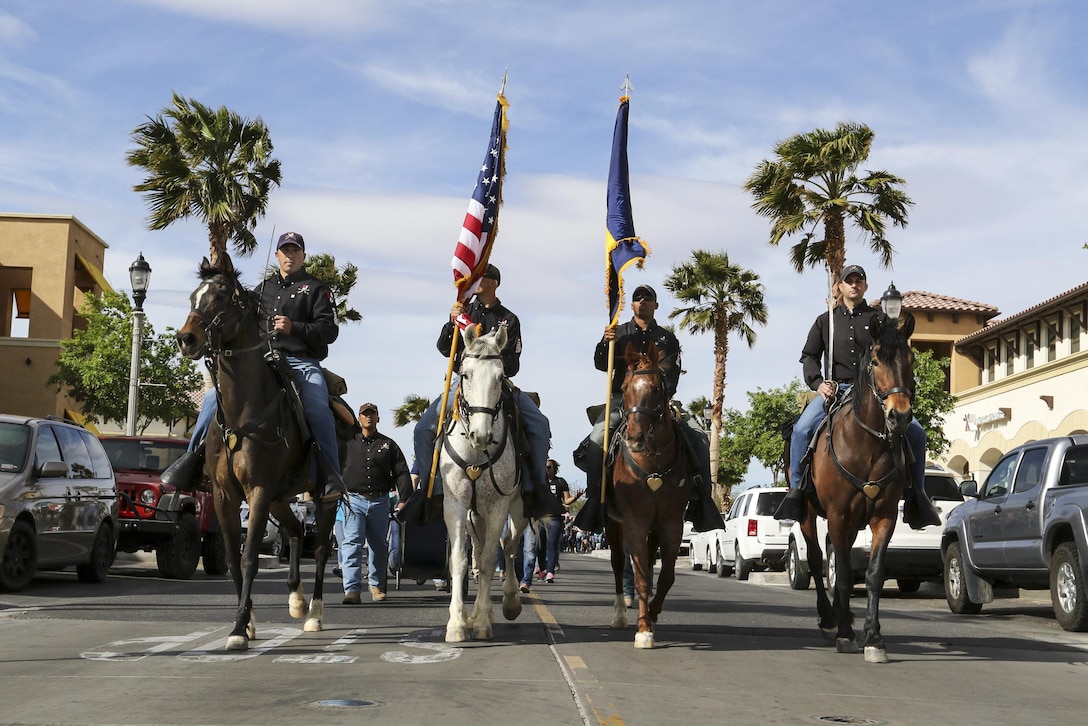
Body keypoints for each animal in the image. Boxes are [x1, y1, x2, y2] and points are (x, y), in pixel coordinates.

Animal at [176, 255, 335, 653]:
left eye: (220, 296)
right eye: (193, 296)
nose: (186, 339)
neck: (243, 411)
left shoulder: (259, 489)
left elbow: (249, 558)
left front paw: (237, 628)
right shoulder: (225, 495)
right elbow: (233, 558)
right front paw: (246, 623)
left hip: (322, 498)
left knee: (321, 550)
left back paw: (313, 613)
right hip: (281, 497)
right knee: (295, 530)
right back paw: (295, 598)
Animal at [439, 324, 528, 640]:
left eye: (501, 377)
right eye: (465, 374)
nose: (482, 435)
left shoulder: (498, 506)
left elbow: (491, 560)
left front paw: (479, 624)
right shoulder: (456, 505)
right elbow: (459, 560)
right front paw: (457, 623)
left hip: (519, 508)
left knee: (509, 547)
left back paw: (508, 602)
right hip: (474, 515)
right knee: (478, 550)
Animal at [604, 343, 687, 648]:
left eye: (655, 387)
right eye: (624, 387)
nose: (635, 438)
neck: (653, 463)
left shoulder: (672, 524)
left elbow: (665, 577)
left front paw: (652, 614)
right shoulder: (634, 523)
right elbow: (639, 577)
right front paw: (642, 630)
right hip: (613, 525)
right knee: (618, 564)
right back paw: (619, 615)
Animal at [792, 313, 918, 666]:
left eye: (911, 359)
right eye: (875, 361)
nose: (899, 415)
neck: (868, 445)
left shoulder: (884, 517)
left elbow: (872, 574)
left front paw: (873, 638)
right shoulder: (836, 514)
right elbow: (844, 575)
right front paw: (847, 634)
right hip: (809, 515)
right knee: (817, 558)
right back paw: (830, 619)